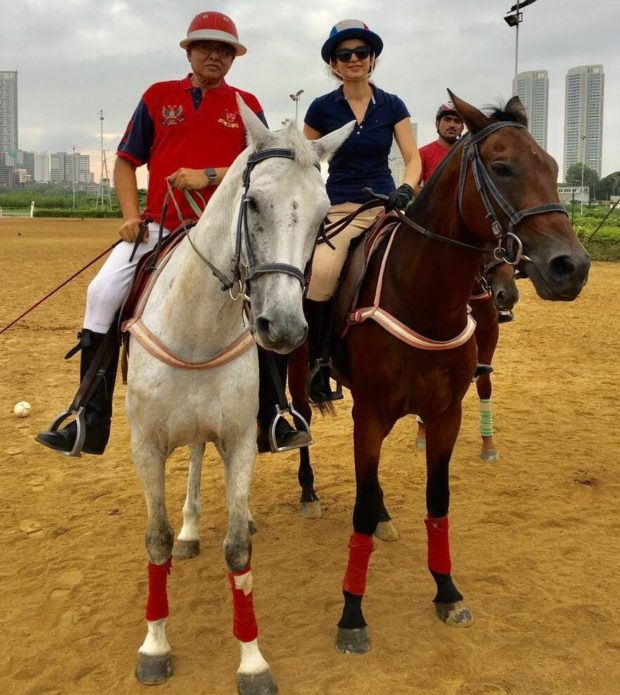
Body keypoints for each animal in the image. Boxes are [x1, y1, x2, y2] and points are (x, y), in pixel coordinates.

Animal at [124, 99, 354, 695]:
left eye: (323, 217)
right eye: (252, 203)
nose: (285, 327)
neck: (197, 329)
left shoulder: (240, 440)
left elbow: (236, 551)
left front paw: (252, 659)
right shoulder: (145, 447)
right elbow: (155, 541)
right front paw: (154, 646)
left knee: (204, 461)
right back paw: (189, 529)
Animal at [296, 91, 592, 652]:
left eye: (552, 167)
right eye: (502, 167)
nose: (572, 266)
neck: (421, 296)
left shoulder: (444, 415)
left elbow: (438, 502)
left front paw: (446, 591)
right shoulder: (371, 414)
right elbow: (359, 509)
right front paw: (352, 613)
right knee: (298, 423)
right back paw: (307, 493)